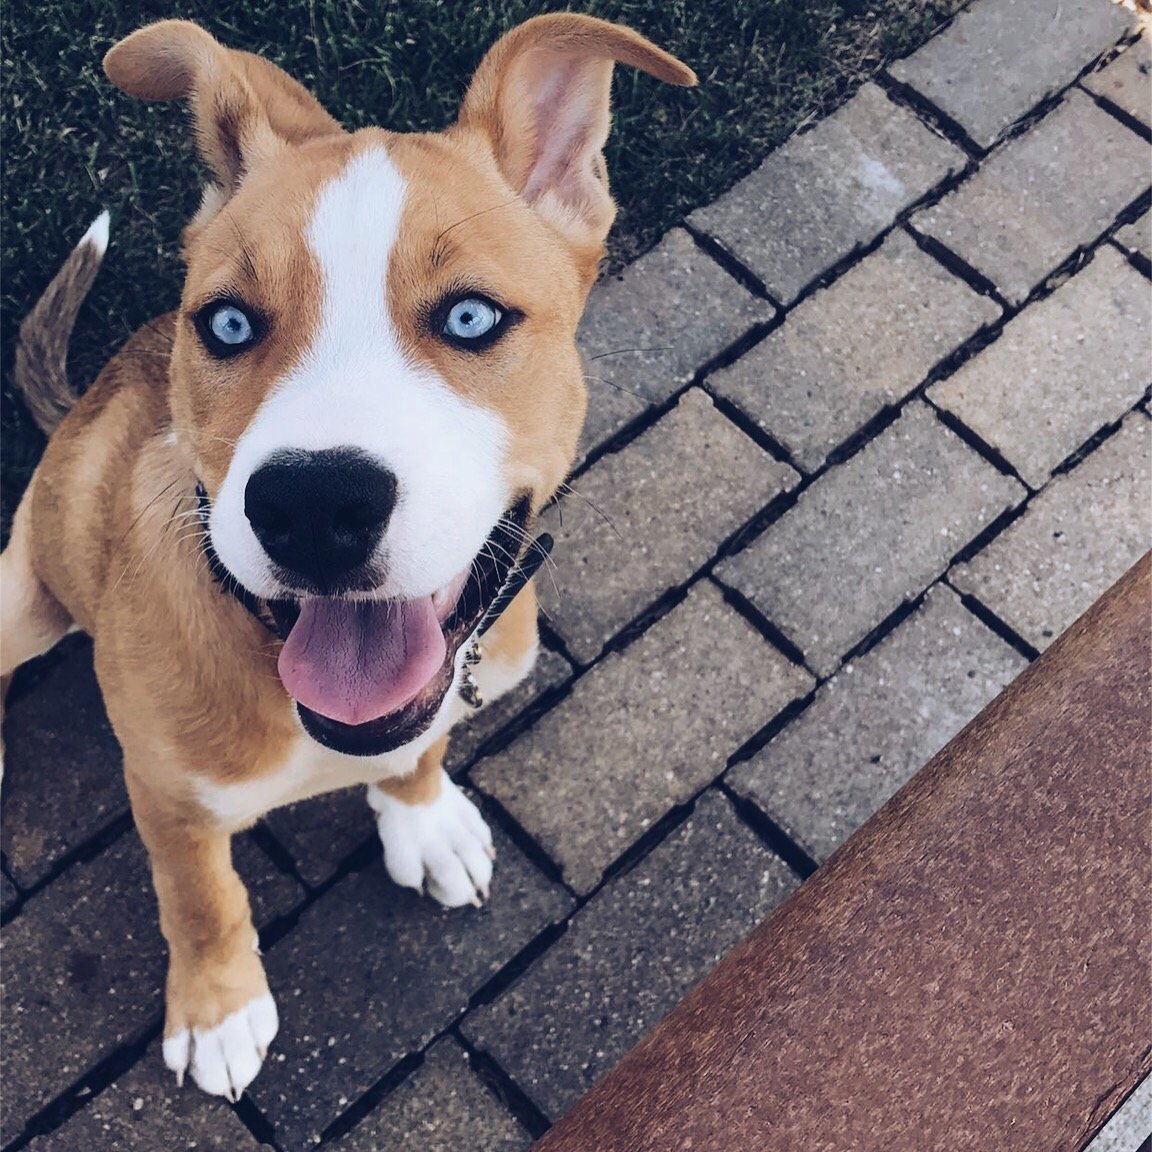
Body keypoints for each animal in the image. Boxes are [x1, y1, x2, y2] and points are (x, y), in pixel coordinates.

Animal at [2, 15, 691, 1096]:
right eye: (227, 323)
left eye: (470, 317)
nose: (314, 505)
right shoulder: (163, 791)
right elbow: (199, 897)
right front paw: (217, 1008)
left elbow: (420, 746)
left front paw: (424, 818)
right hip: (22, 593)